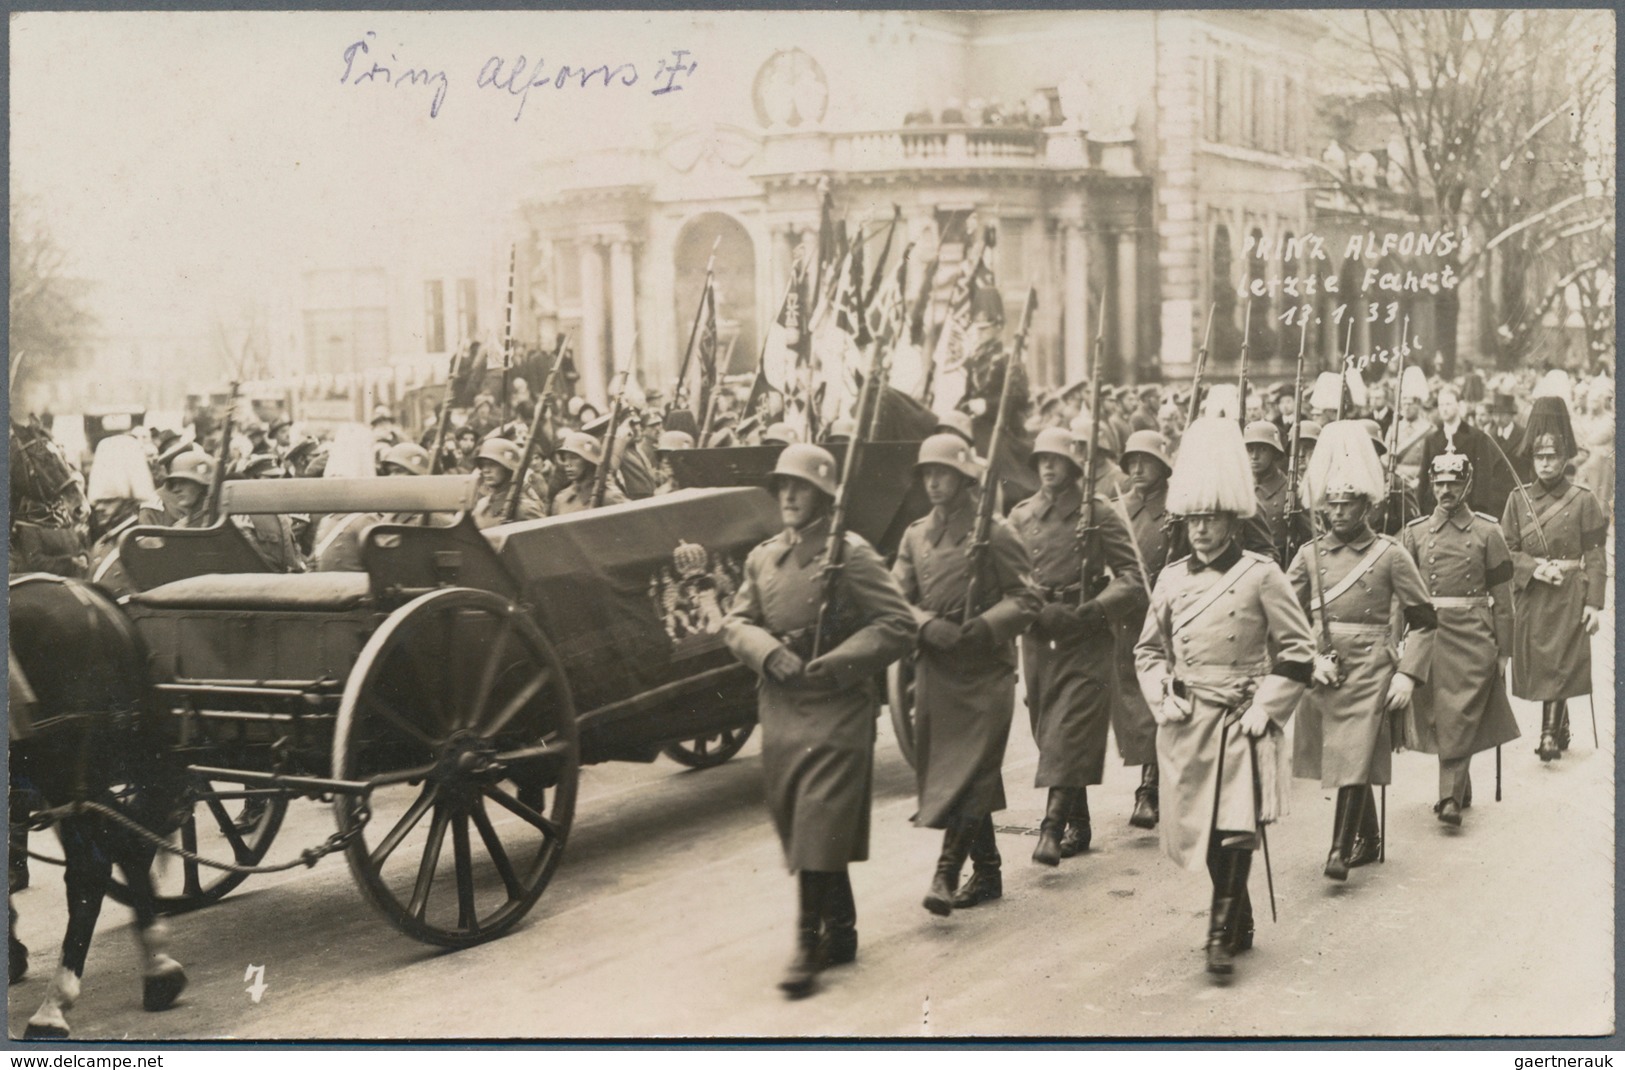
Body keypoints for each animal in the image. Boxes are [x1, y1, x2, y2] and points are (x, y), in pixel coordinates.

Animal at [8, 575, 189, 1034]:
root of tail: (87, 594)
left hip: (63, 768)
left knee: (92, 867)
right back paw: (159, 969)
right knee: (124, 843)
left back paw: (54, 1005)